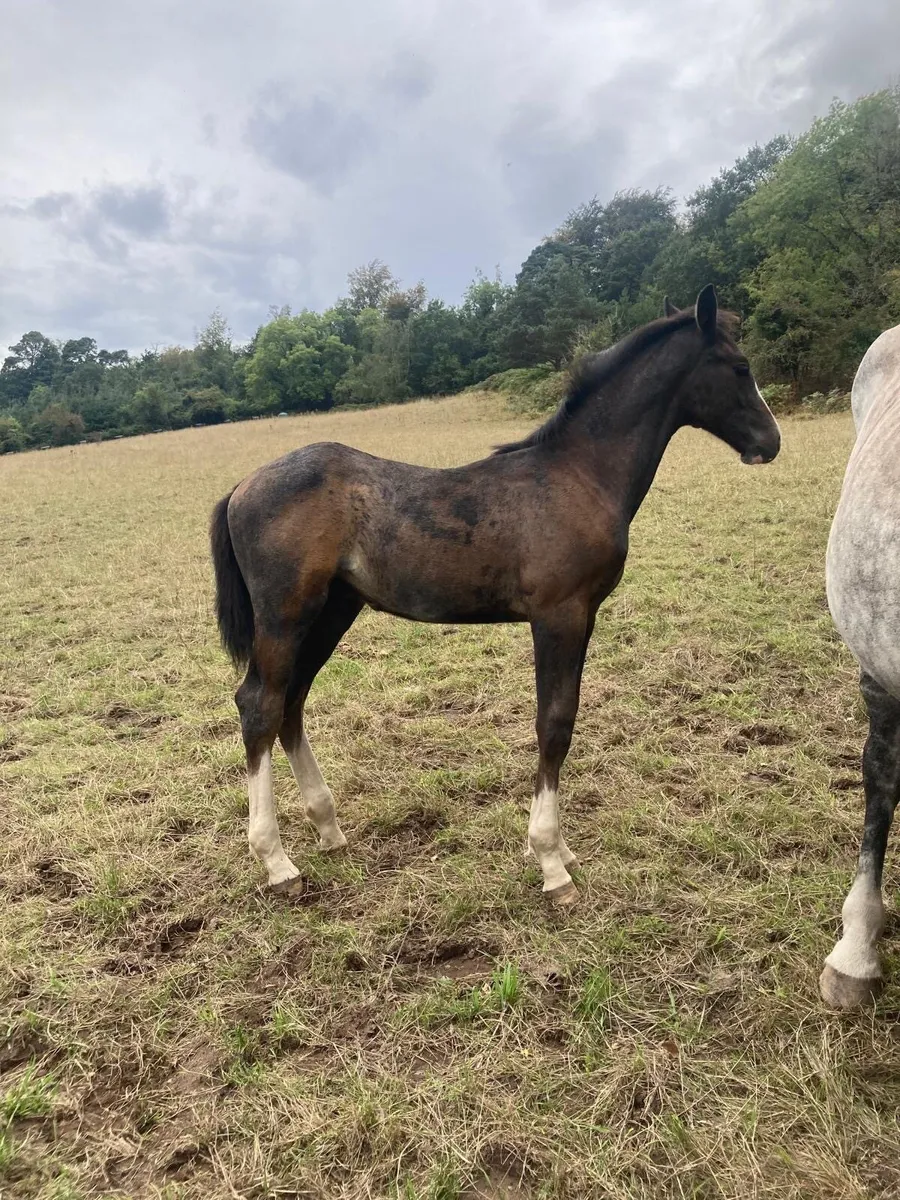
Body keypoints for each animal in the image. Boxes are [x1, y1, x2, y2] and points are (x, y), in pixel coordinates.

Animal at [210, 285, 781, 904]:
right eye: (739, 367)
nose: (770, 442)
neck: (578, 475)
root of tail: (242, 486)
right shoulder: (559, 615)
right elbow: (554, 723)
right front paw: (552, 863)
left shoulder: (583, 616)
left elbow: (561, 716)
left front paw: (561, 851)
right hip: (286, 616)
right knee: (260, 705)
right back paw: (277, 861)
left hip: (334, 610)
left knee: (291, 701)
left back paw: (329, 829)